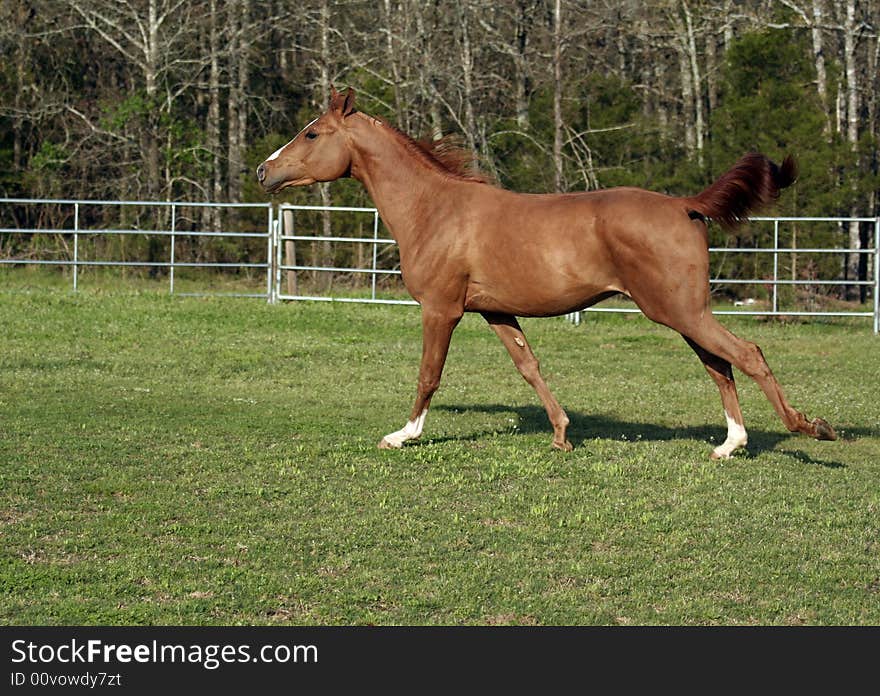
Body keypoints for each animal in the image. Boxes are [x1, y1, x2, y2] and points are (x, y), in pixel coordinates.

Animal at [258, 88, 836, 456]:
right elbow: (529, 366)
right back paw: (729, 445)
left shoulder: (441, 310)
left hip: (678, 310)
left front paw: (403, 435)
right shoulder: (495, 312)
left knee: (746, 354)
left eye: (312, 134)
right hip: (683, 312)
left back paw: (811, 428)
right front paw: (561, 434)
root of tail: (686, 206)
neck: (434, 210)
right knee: (721, 366)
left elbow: (429, 374)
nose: (264, 171)